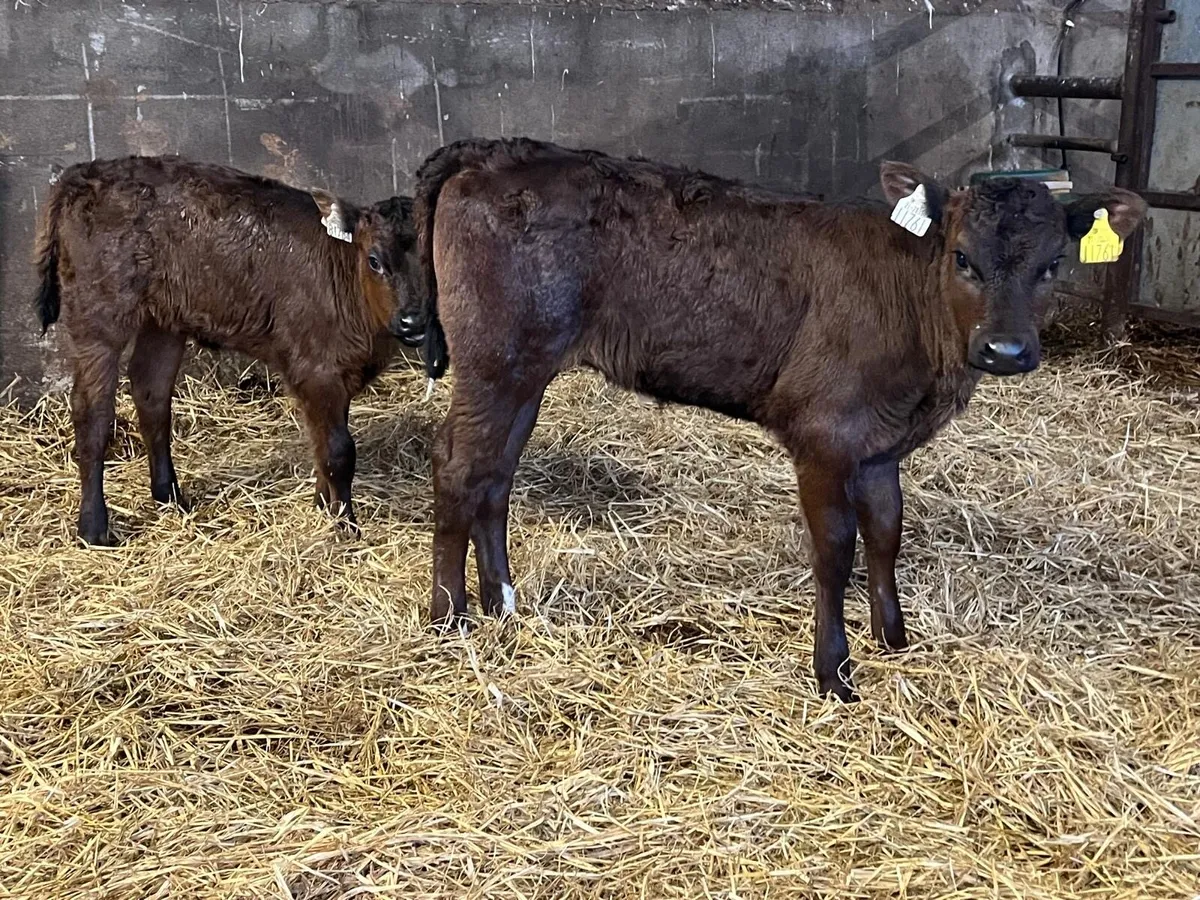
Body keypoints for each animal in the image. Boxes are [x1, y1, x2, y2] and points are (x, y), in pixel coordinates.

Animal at [33, 155, 428, 546]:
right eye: (374, 260)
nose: (413, 320)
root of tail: (81, 173)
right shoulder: (316, 369)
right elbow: (338, 451)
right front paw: (346, 527)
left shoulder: (335, 374)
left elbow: (322, 442)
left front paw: (323, 508)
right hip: (98, 315)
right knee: (93, 412)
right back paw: (94, 528)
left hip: (164, 320)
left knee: (151, 393)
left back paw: (169, 496)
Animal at [407, 137, 1146, 701]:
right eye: (963, 257)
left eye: (1054, 263)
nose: (1006, 350)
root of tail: (493, 151)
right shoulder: (823, 435)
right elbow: (836, 551)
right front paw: (834, 672)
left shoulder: (879, 445)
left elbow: (887, 534)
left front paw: (894, 640)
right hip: (496, 359)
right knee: (457, 464)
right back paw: (449, 614)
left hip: (525, 370)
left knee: (496, 473)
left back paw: (501, 600)